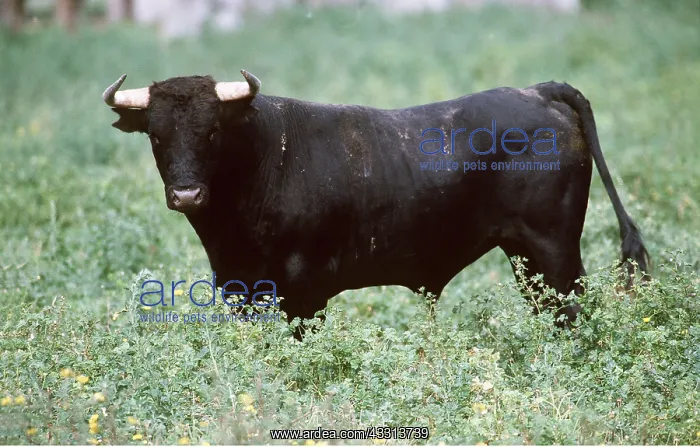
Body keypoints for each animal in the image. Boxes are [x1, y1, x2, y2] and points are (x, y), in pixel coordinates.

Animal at [102, 69, 650, 338]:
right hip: (526, 256)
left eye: (212, 131)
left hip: (553, 248)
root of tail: (538, 91)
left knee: (572, 308)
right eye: (156, 136)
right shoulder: (241, 288)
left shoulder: (304, 292)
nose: (187, 194)